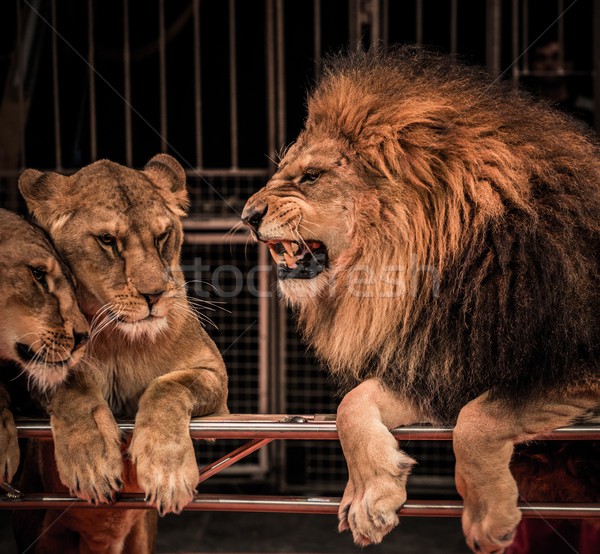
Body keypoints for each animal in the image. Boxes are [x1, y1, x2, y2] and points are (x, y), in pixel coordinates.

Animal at [16, 154, 229, 552]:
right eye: (107, 240)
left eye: (162, 236)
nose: (155, 294)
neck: (121, 339)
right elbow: (72, 385)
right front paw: (92, 460)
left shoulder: (216, 385)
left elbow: (168, 386)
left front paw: (167, 470)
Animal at [244, 48, 600, 552]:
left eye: (311, 176)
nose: (247, 215)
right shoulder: (439, 365)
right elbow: (351, 404)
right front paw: (370, 495)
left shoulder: (569, 365)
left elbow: (478, 419)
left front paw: (487, 519)